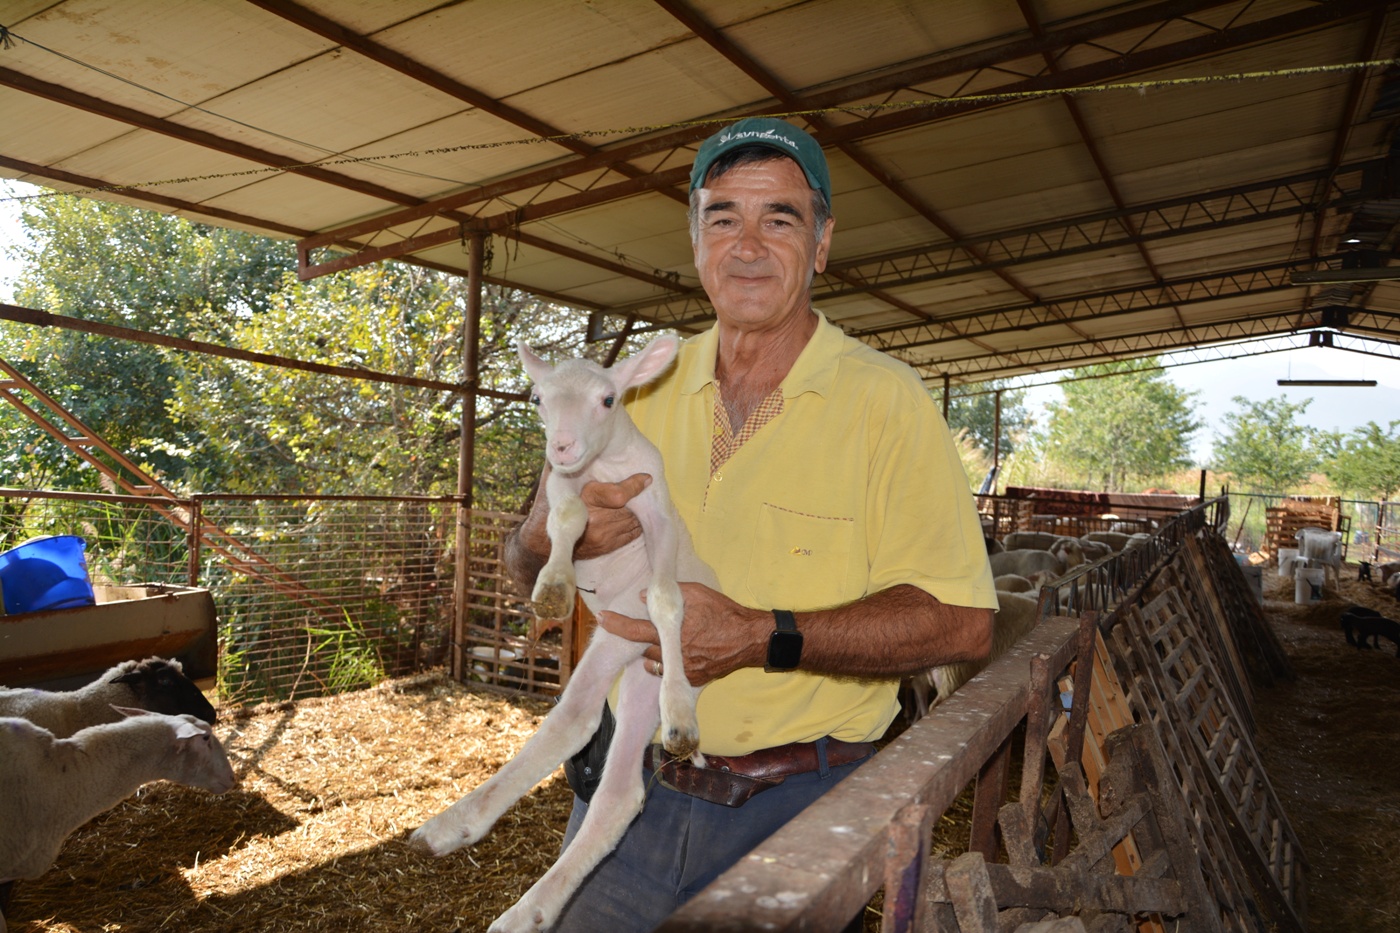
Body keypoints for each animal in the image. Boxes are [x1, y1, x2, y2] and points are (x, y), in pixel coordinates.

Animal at [408, 334, 722, 930]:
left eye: (608, 400)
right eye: (537, 400)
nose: (562, 447)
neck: (606, 465)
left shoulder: (656, 505)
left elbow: (667, 598)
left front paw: (678, 710)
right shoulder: (558, 487)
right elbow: (568, 520)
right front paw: (554, 584)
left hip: (639, 655)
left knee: (617, 786)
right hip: (610, 650)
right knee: (575, 723)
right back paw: (452, 829)